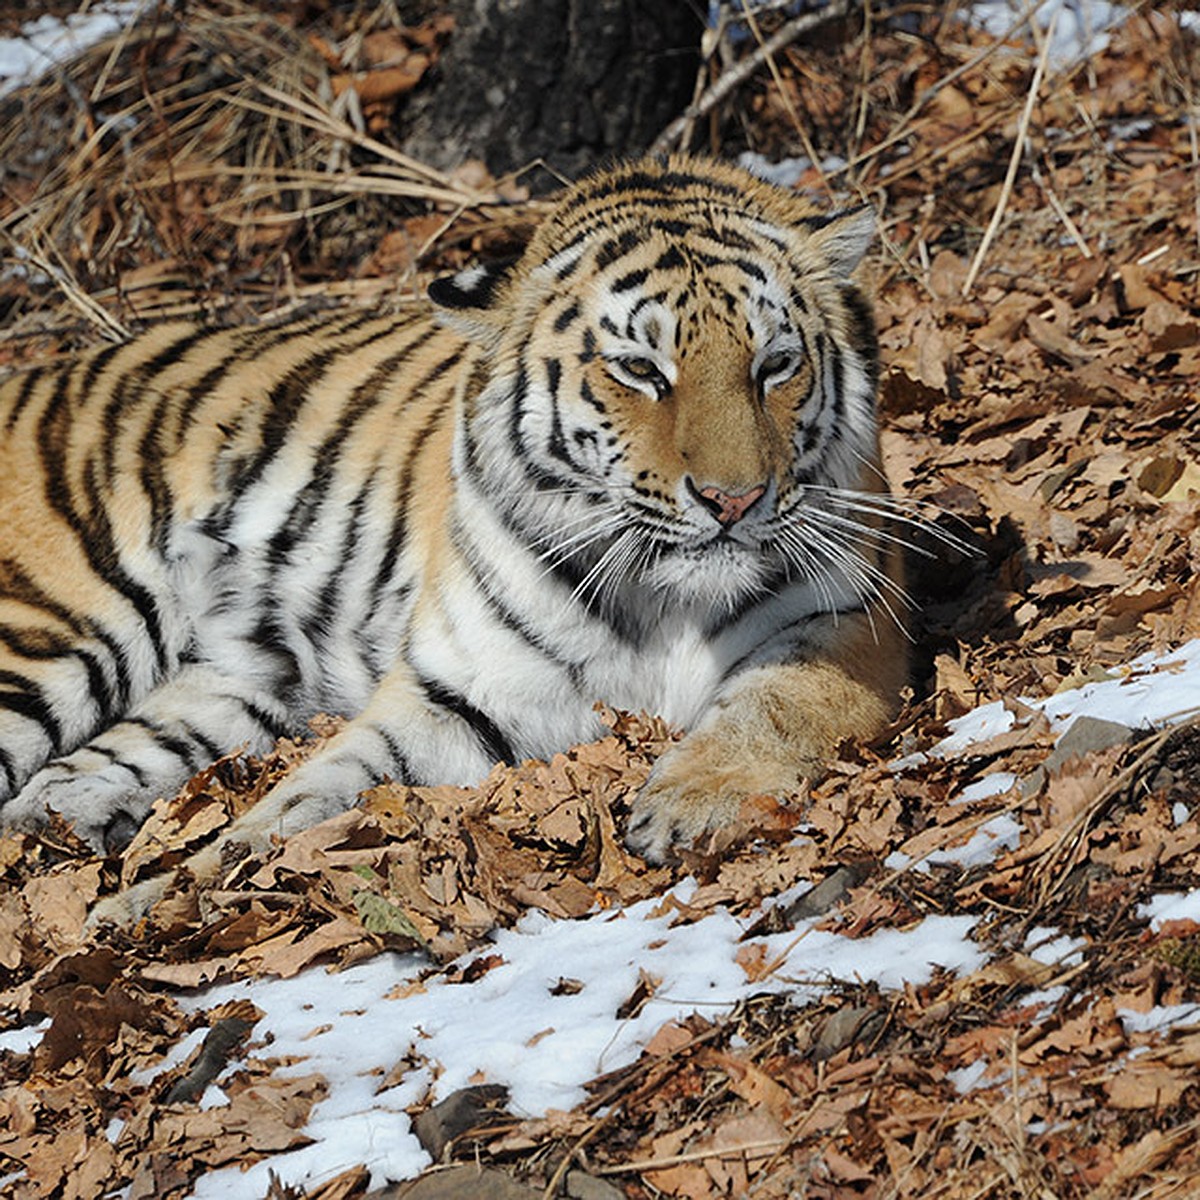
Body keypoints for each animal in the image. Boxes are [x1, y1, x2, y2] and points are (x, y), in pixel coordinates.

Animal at [0, 154, 902, 921]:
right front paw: (176, 895)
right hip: (50, 632)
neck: (666, 599)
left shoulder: (847, 619)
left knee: (77, 770)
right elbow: (307, 795)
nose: (733, 500)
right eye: (640, 371)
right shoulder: (455, 695)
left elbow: (773, 707)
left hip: (229, 682)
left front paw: (689, 804)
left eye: (775, 364)